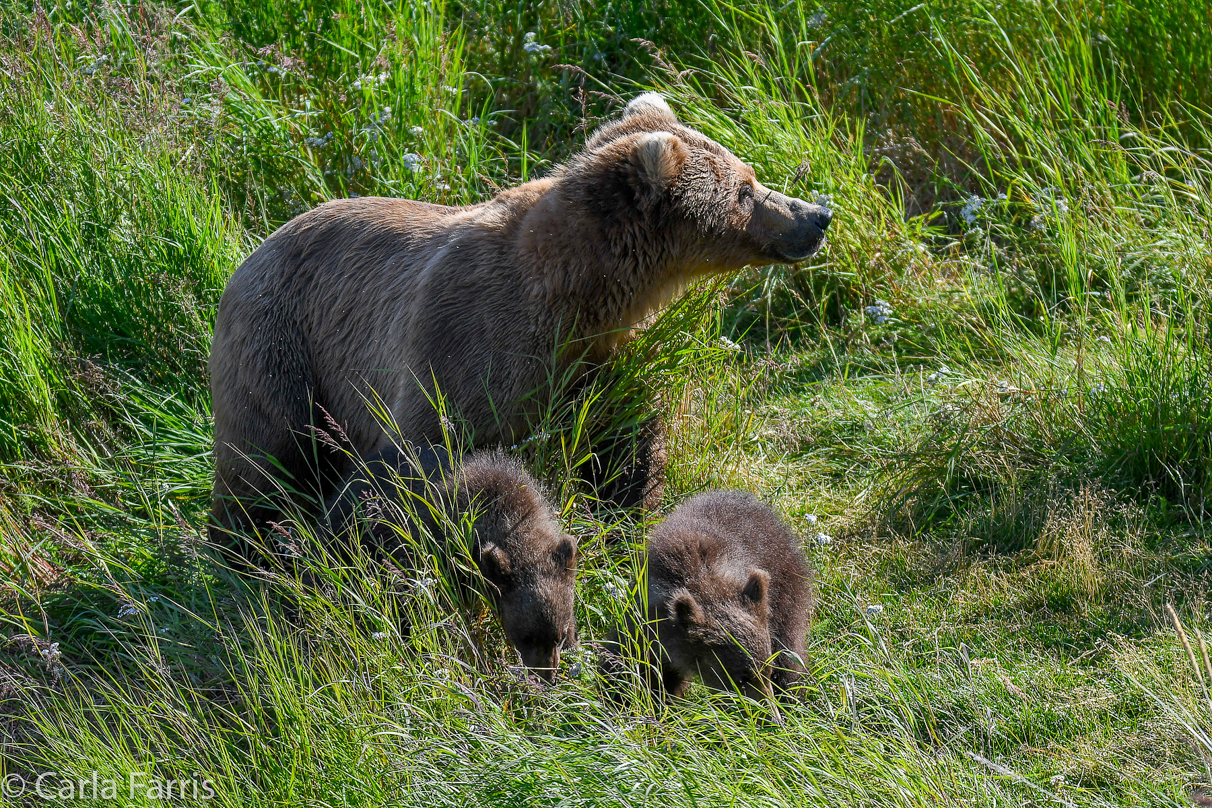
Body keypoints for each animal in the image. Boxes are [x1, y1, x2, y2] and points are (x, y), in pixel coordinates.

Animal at [210, 91, 833, 540]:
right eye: (745, 188)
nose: (817, 214)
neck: (577, 292)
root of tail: (252, 252)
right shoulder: (463, 341)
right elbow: (416, 461)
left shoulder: (603, 359)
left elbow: (624, 446)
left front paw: (630, 515)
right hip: (281, 339)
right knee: (265, 450)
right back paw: (244, 544)